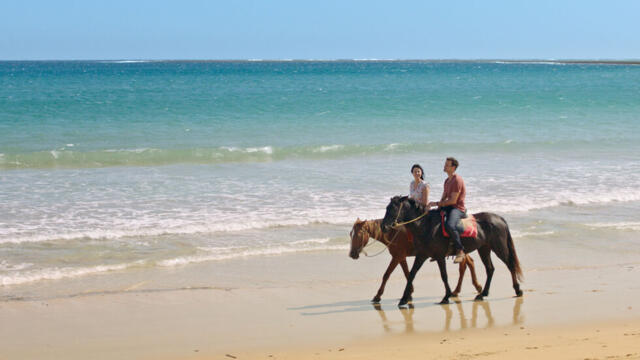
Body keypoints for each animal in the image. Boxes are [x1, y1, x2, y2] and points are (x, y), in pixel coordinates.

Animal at [350, 217, 480, 304]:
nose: (352, 254)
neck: (393, 233)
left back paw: (475, 287)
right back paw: (459, 290)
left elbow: (387, 275)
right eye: (351, 234)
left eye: (358, 234)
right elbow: (407, 273)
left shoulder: (397, 257)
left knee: (467, 264)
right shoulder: (401, 257)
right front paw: (409, 293)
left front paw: (378, 296)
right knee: (466, 264)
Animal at [380, 197, 524, 306]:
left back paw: (518, 290)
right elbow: (411, 274)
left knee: (510, 265)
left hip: (499, 248)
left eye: (392, 209)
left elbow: (444, 275)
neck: (426, 226)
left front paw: (446, 297)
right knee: (490, 269)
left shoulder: (439, 256)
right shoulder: (421, 255)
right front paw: (404, 299)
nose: (383, 226)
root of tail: (499, 218)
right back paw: (482, 294)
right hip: (484, 249)